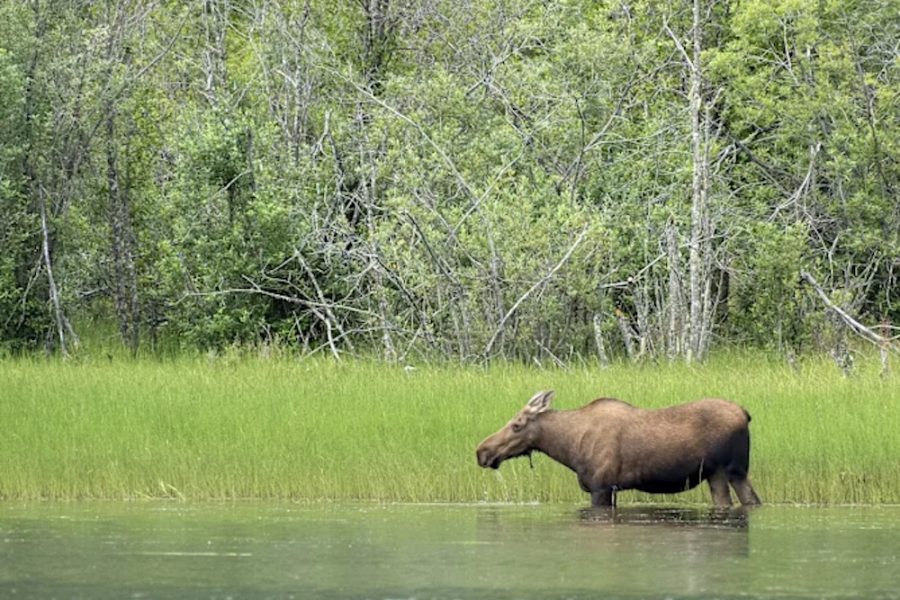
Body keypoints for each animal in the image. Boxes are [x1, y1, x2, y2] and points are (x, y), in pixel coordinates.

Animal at [474, 390, 764, 506]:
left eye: (517, 424)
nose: (482, 451)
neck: (569, 447)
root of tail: (746, 413)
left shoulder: (601, 487)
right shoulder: (610, 489)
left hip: (728, 470)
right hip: (723, 474)